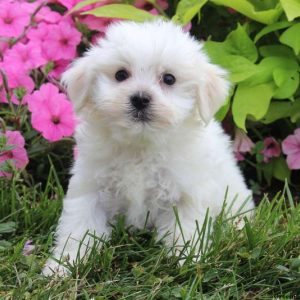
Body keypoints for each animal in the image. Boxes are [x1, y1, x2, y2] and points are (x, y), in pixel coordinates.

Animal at [43, 19, 254, 276]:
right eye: (121, 75)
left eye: (169, 79)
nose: (140, 98)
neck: (141, 144)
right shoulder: (90, 188)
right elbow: (79, 228)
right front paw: (64, 265)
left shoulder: (186, 193)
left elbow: (186, 229)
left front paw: (187, 262)